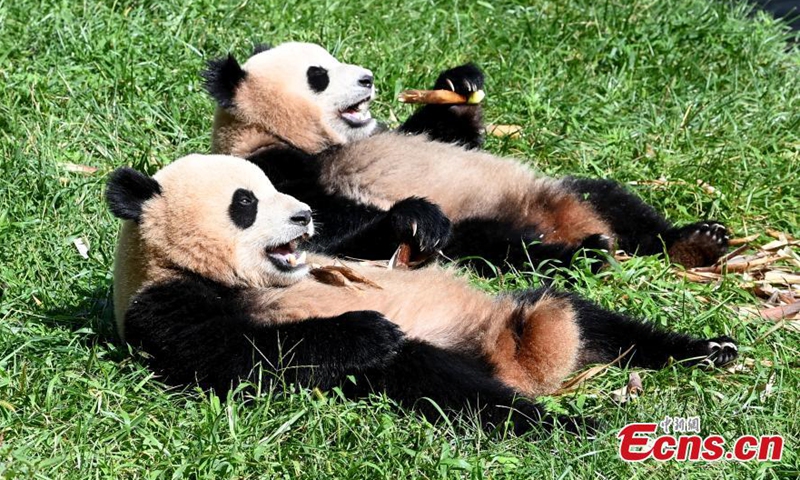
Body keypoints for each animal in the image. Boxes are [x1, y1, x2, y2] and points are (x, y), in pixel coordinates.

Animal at [108, 154, 738, 433]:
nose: (303, 217)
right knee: (440, 380)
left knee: (595, 317)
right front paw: (366, 328)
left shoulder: (332, 248)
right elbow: (238, 357)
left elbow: (363, 239)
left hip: (516, 300)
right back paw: (566, 424)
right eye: (246, 202)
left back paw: (705, 345)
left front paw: (416, 221)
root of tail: (509, 355)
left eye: (274, 188)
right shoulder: (164, 304)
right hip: (437, 357)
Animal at [202, 42, 729, 273]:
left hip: (563, 193)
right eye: (319, 75)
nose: (368, 78)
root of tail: (565, 223)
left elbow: (445, 133)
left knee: (611, 199)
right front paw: (414, 217)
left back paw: (695, 240)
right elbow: (323, 230)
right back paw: (584, 254)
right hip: (491, 223)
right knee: (490, 245)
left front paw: (460, 82)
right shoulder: (278, 166)